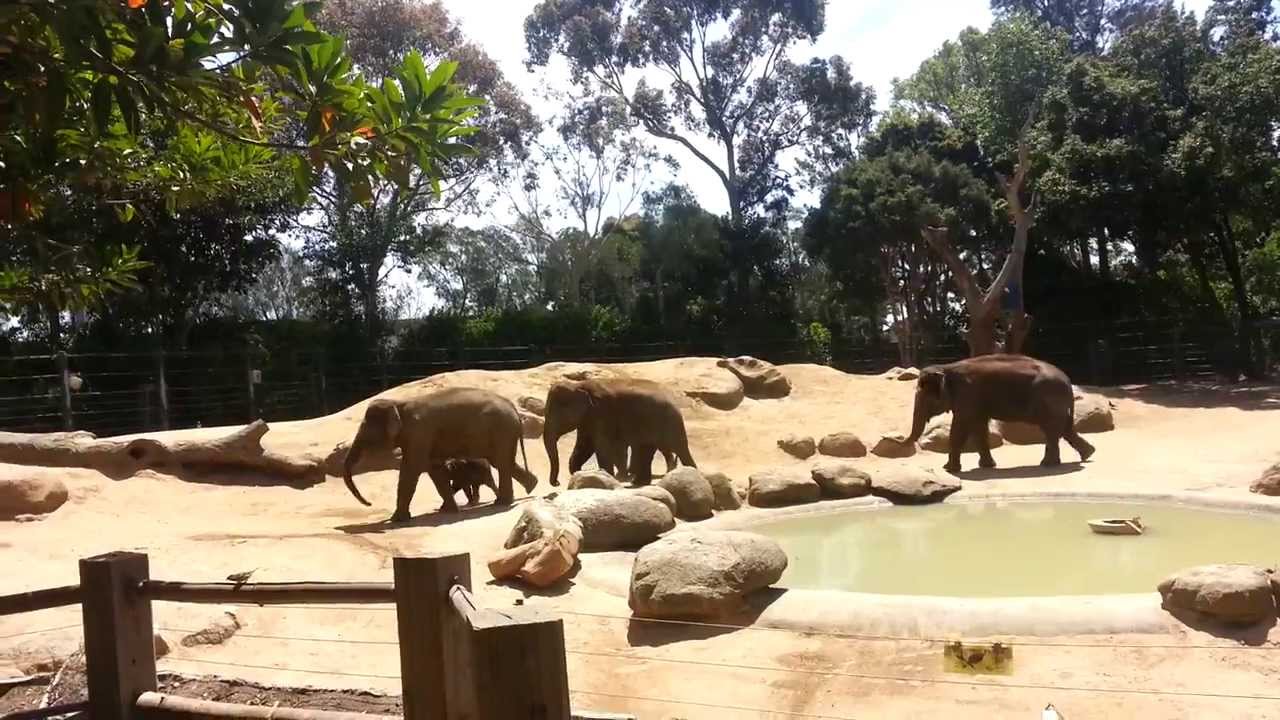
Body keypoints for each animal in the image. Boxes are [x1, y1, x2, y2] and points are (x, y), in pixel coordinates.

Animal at [343, 386, 537, 520]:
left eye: (367, 432)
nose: (369, 503)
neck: (399, 403)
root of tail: (513, 408)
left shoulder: (419, 433)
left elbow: (411, 469)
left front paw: (396, 520)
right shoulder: (421, 438)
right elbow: (434, 469)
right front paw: (449, 510)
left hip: (501, 430)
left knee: (502, 462)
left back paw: (503, 502)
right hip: (502, 432)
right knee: (503, 461)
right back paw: (530, 486)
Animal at [542, 376, 701, 486]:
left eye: (555, 414)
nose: (557, 483)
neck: (578, 385)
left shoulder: (602, 412)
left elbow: (600, 445)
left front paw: (608, 477)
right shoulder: (588, 419)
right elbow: (584, 445)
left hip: (669, 422)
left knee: (679, 448)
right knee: (647, 450)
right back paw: (637, 482)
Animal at [901, 351, 1100, 474]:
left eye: (924, 395)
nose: (899, 440)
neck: (945, 367)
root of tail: (1068, 381)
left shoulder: (967, 394)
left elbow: (960, 427)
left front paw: (948, 469)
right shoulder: (975, 401)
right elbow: (978, 427)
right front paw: (987, 466)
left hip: (1049, 398)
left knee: (1051, 429)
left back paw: (1048, 464)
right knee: (1064, 428)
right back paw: (1087, 454)